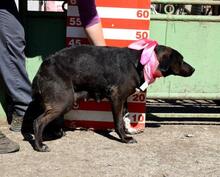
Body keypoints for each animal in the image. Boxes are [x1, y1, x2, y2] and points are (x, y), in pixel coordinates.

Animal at [22, 45, 194, 151]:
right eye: (181, 60)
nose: (193, 69)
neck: (140, 63)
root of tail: (44, 65)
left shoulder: (123, 101)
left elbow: (124, 119)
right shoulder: (117, 97)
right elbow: (118, 122)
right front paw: (124, 138)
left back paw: (54, 134)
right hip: (64, 101)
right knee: (38, 122)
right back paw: (39, 145)